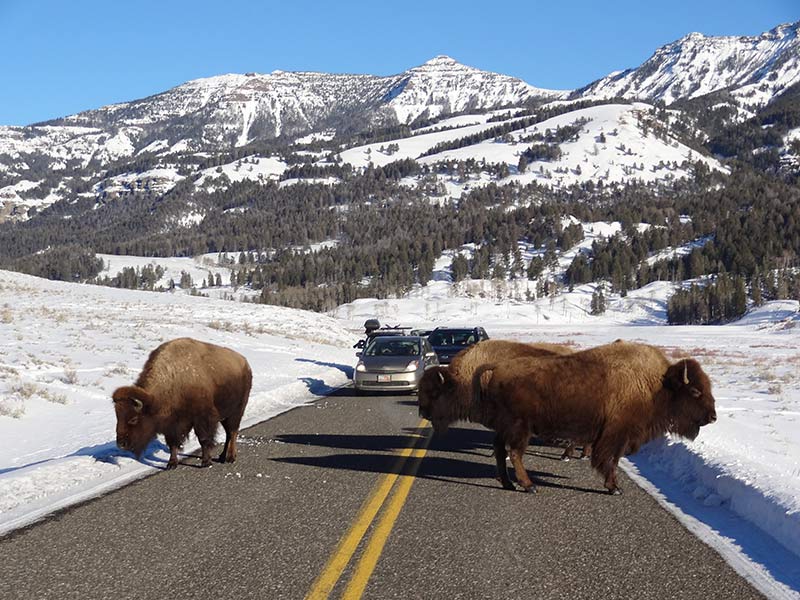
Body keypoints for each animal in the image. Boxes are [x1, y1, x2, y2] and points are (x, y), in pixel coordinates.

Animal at [111, 338, 252, 468]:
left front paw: (205, 462)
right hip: (226, 415)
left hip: (237, 411)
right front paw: (171, 464)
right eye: (117, 416)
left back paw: (230, 457)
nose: (121, 444)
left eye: (133, 419)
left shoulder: (202, 419)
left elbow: (203, 439)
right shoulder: (172, 424)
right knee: (229, 433)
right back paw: (222, 456)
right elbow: (173, 444)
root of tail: (245, 362)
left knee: (232, 432)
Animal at [472, 340, 716, 494]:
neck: (656, 385)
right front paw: (614, 488)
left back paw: (508, 484)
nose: (713, 417)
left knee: (500, 450)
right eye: (695, 391)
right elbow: (611, 460)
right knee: (514, 453)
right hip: (520, 428)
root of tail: (498, 368)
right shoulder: (616, 435)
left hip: (506, 428)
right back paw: (529, 486)